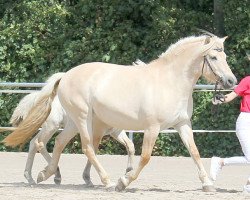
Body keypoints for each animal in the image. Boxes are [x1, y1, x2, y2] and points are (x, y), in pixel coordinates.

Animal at [3, 34, 236, 192]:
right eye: (213, 57)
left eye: (225, 55)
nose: (231, 81)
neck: (170, 82)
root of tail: (66, 75)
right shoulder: (152, 128)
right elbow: (145, 157)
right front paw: (124, 182)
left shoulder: (183, 124)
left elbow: (194, 152)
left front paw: (207, 184)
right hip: (81, 119)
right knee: (84, 147)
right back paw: (106, 181)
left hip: (73, 122)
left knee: (57, 143)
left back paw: (46, 174)